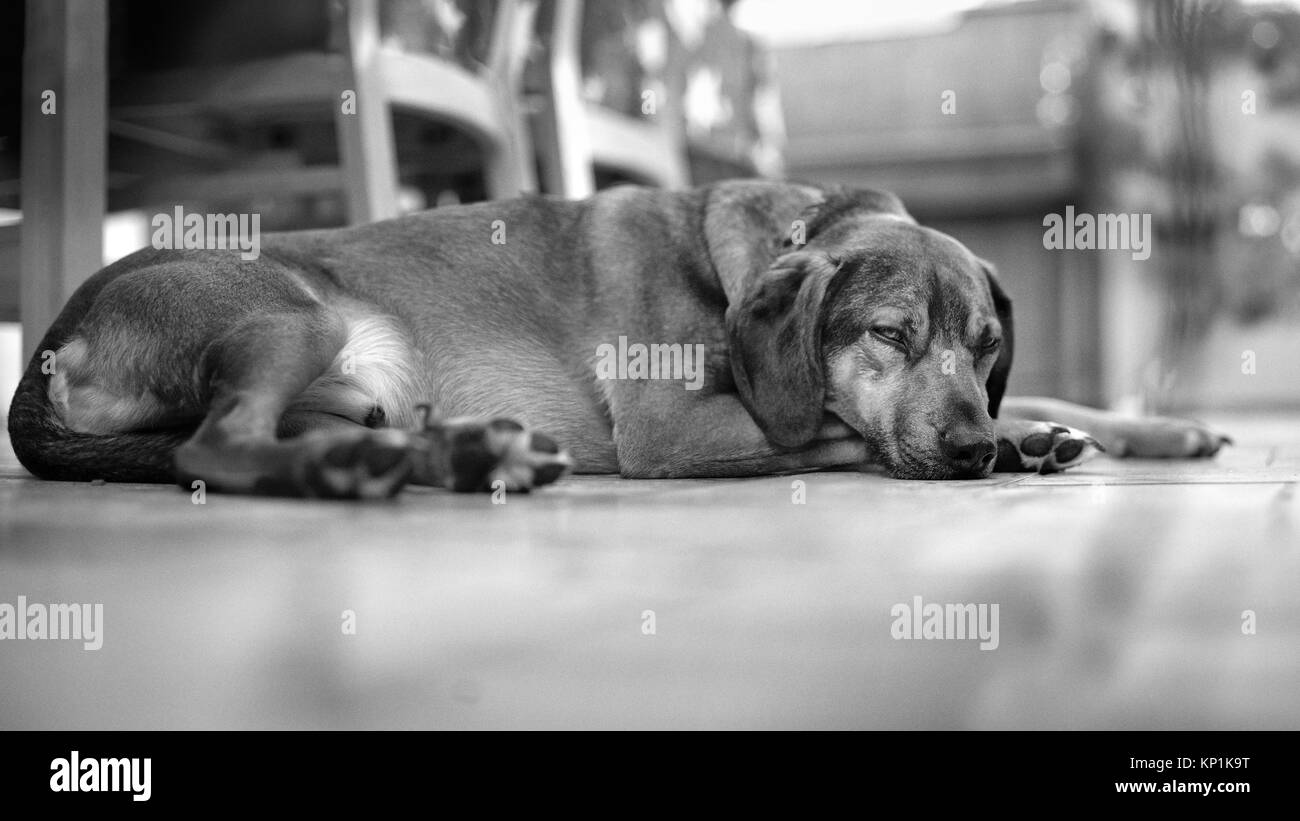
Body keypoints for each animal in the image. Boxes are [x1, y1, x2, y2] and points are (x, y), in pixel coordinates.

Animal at [7, 180, 1227, 496]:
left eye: (983, 346)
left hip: (358, 378)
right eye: (890, 332)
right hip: (297, 314)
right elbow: (830, 426)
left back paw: (453, 453)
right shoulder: (673, 432)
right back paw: (365, 469)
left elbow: (1062, 393)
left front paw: (1130, 430)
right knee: (214, 444)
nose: (973, 447)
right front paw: (1026, 443)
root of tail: (50, 339)